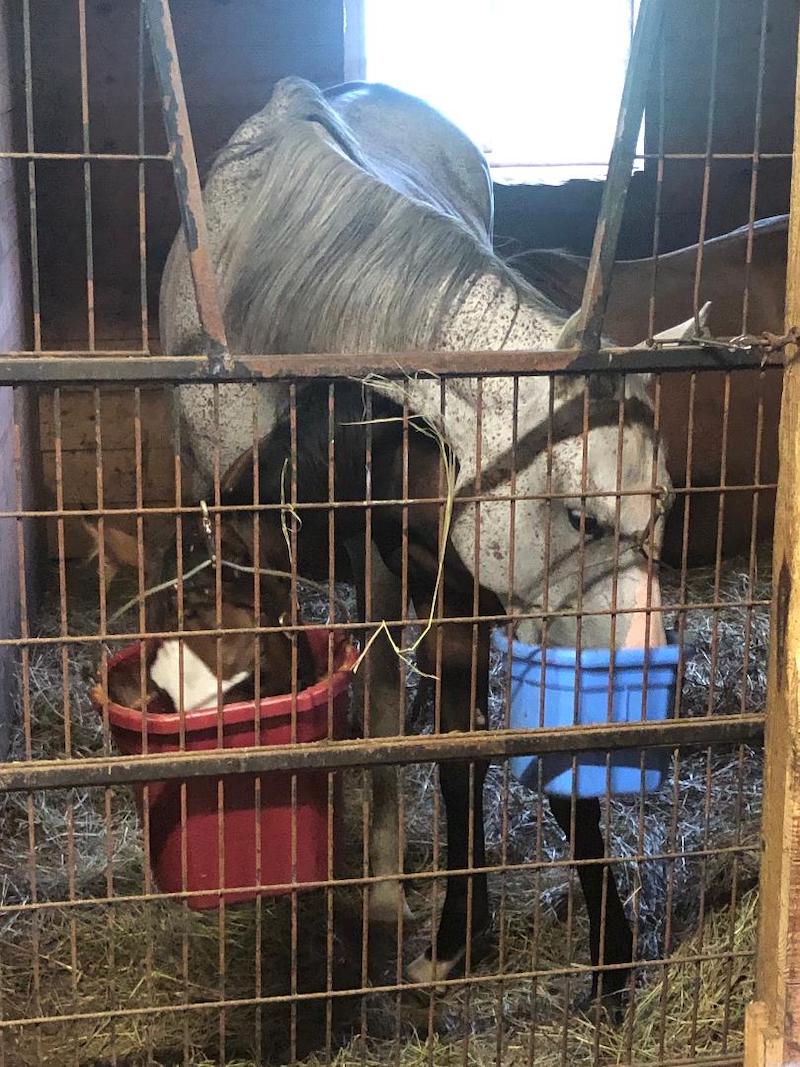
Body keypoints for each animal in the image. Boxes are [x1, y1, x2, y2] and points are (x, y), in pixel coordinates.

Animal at [156, 77, 681, 1007]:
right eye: (583, 517)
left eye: (661, 510)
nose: (644, 654)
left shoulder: (476, 600)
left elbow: (481, 761)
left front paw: (599, 957)